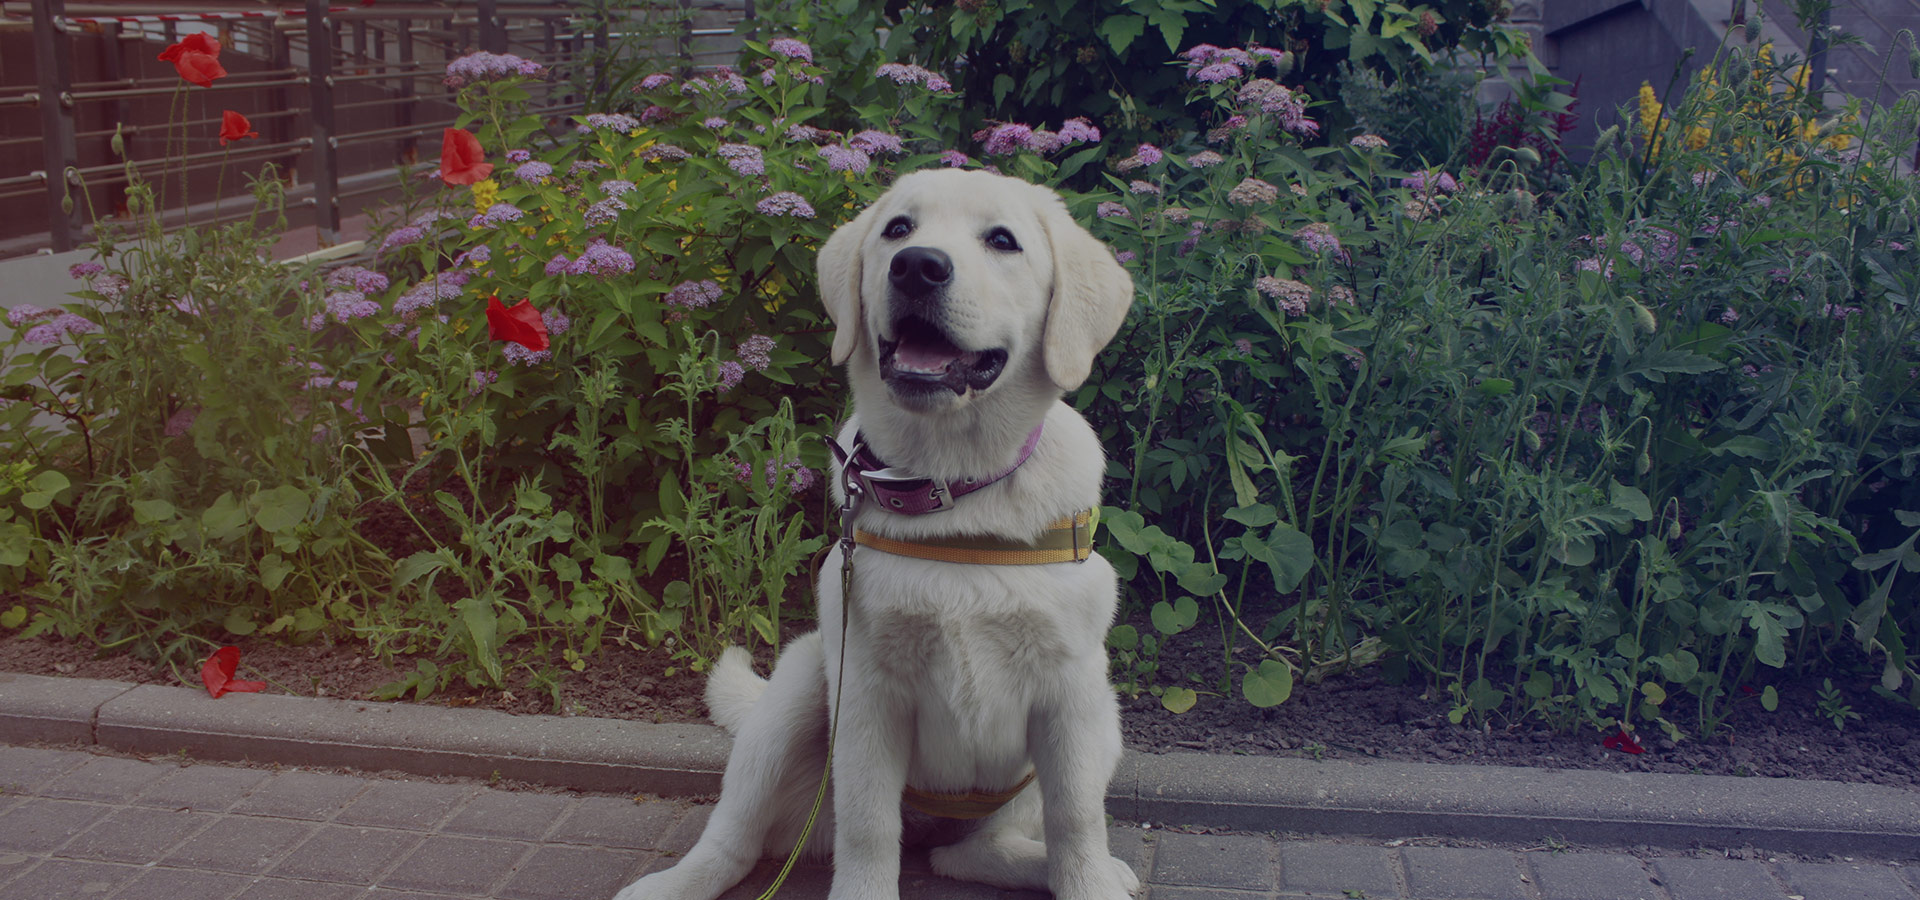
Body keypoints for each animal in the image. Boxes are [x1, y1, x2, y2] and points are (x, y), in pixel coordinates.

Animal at [611, 168, 1137, 900]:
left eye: (1003, 241)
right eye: (898, 229)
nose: (917, 266)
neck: (952, 487)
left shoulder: (1073, 695)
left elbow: (1078, 821)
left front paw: (1090, 879)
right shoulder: (865, 692)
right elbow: (866, 827)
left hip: (1104, 724)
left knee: (970, 853)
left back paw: (1084, 868)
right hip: (796, 691)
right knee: (735, 839)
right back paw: (671, 882)